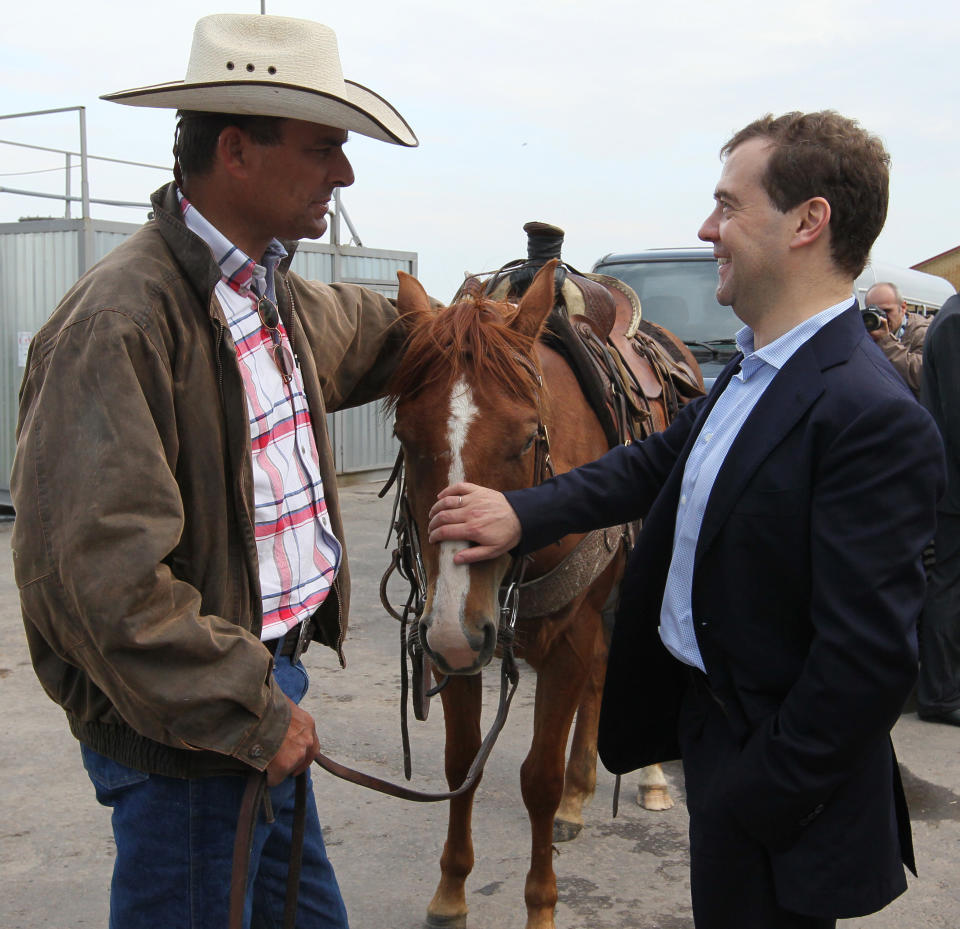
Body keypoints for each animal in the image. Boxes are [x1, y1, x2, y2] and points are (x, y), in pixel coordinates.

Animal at [384, 260, 696, 928]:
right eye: (405, 435)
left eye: (528, 439)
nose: (455, 629)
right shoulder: (455, 644)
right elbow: (461, 763)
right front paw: (450, 895)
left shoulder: (566, 637)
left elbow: (539, 779)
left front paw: (541, 907)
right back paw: (581, 799)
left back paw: (651, 779)